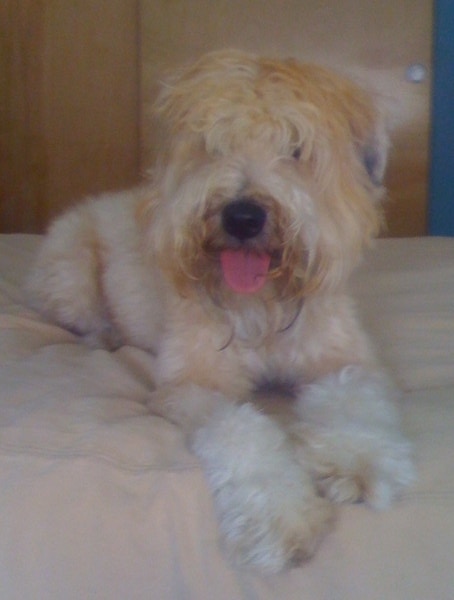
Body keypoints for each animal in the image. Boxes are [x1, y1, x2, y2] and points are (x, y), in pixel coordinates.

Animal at [26, 50, 414, 572]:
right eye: (213, 144)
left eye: (296, 148)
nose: (243, 216)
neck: (264, 308)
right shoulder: (194, 384)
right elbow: (241, 429)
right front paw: (278, 516)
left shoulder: (346, 360)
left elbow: (354, 400)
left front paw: (356, 462)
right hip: (70, 270)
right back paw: (106, 335)